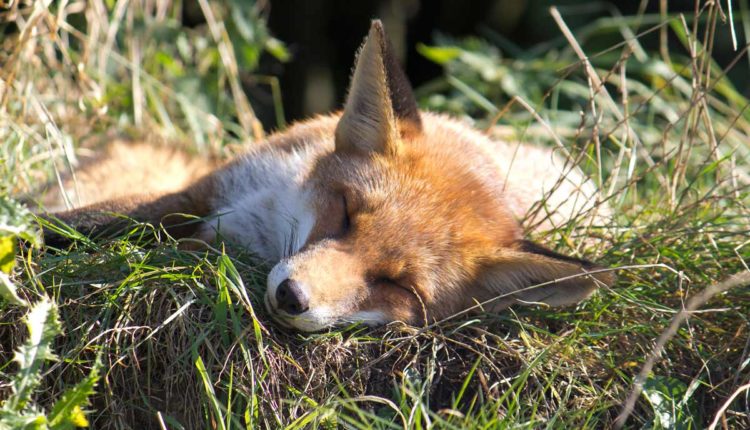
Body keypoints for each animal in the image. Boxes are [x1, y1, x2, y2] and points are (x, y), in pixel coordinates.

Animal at [41, 21, 614, 332]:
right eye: (345, 214)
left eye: (396, 285)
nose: (293, 297)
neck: (265, 224)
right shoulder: (201, 192)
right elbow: (87, 220)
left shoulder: (212, 238)